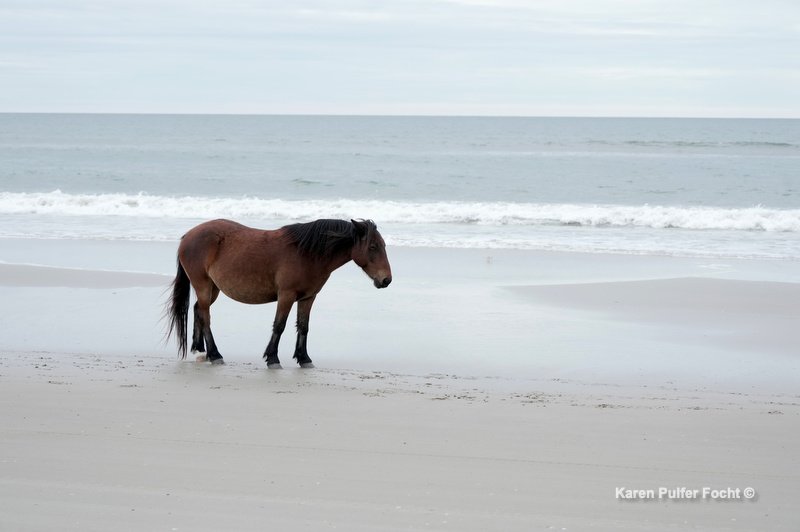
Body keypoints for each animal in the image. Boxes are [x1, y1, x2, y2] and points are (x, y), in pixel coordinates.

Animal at [167, 218, 392, 368]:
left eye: (383, 245)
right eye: (373, 247)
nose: (386, 280)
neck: (306, 253)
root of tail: (188, 236)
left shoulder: (308, 298)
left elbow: (303, 327)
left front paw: (304, 358)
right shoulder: (286, 296)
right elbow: (279, 326)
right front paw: (273, 358)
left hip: (213, 289)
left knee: (198, 310)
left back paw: (200, 350)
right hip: (203, 286)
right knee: (205, 316)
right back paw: (215, 355)